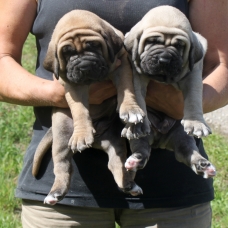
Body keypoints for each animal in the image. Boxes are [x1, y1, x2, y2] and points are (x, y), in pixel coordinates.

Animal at [31, 9, 144, 205]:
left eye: (95, 46)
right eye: (67, 53)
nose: (84, 67)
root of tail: (98, 139)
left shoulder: (121, 64)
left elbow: (126, 88)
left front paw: (130, 109)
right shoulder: (71, 84)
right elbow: (79, 109)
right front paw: (82, 134)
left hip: (116, 140)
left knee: (115, 162)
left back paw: (129, 184)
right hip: (62, 132)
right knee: (62, 165)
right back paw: (55, 193)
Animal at [123, 4, 216, 178]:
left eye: (179, 46)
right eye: (151, 42)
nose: (164, 60)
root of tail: (160, 139)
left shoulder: (193, 75)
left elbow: (193, 98)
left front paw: (196, 122)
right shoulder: (137, 75)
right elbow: (138, 96)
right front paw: (139, 122)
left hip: (181, 134)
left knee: (186, 152)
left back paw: (203, 165)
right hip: (142, 138)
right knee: (141, 147)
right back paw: (135, 158)